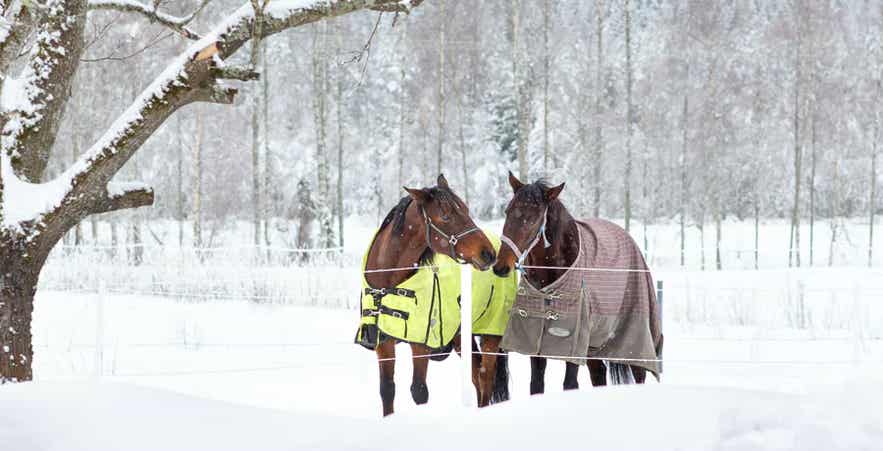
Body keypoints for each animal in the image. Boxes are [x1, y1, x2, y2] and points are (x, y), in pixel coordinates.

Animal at [355, 174, 512, 416]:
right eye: (445, 215)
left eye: (465, 209)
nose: (488, 254)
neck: (387, 283)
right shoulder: (384, 343)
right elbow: (387, 389)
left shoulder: (421, 344)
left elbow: (419, 390)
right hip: (461, 337)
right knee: (477, 375)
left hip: (490, 333)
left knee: (485, 376)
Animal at [492, 172, 663, 393]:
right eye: (508, 211)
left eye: (534, 218)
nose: (500, 267)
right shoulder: (537, 342)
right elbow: (536, 384)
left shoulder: (574, 343)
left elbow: (570, 384)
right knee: (599, 375)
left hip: (634, 343)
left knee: (639, 373)